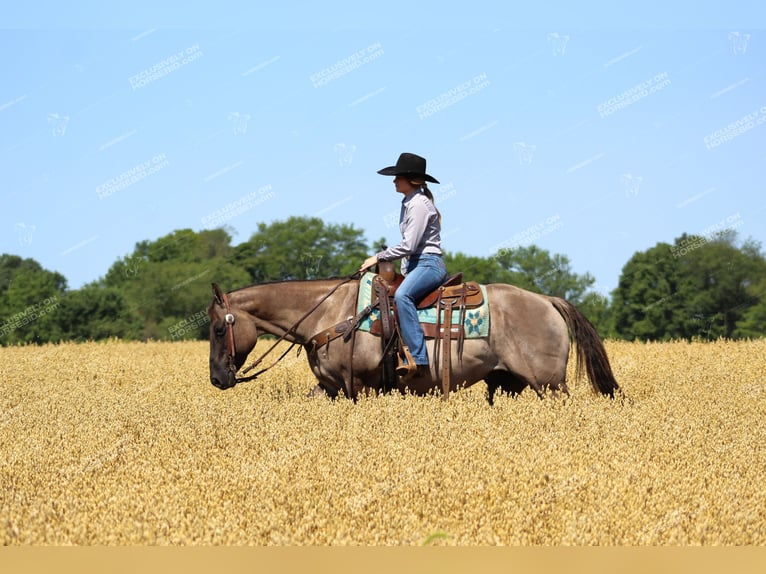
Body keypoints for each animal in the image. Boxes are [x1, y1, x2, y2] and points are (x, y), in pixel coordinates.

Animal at [207, 276, 620, 404]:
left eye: (217, 329)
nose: (217, 378)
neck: (330, 314)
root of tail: (547, 300)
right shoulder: (331, 388)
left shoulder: (359, 386)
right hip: (507, 383)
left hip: (550, 384)